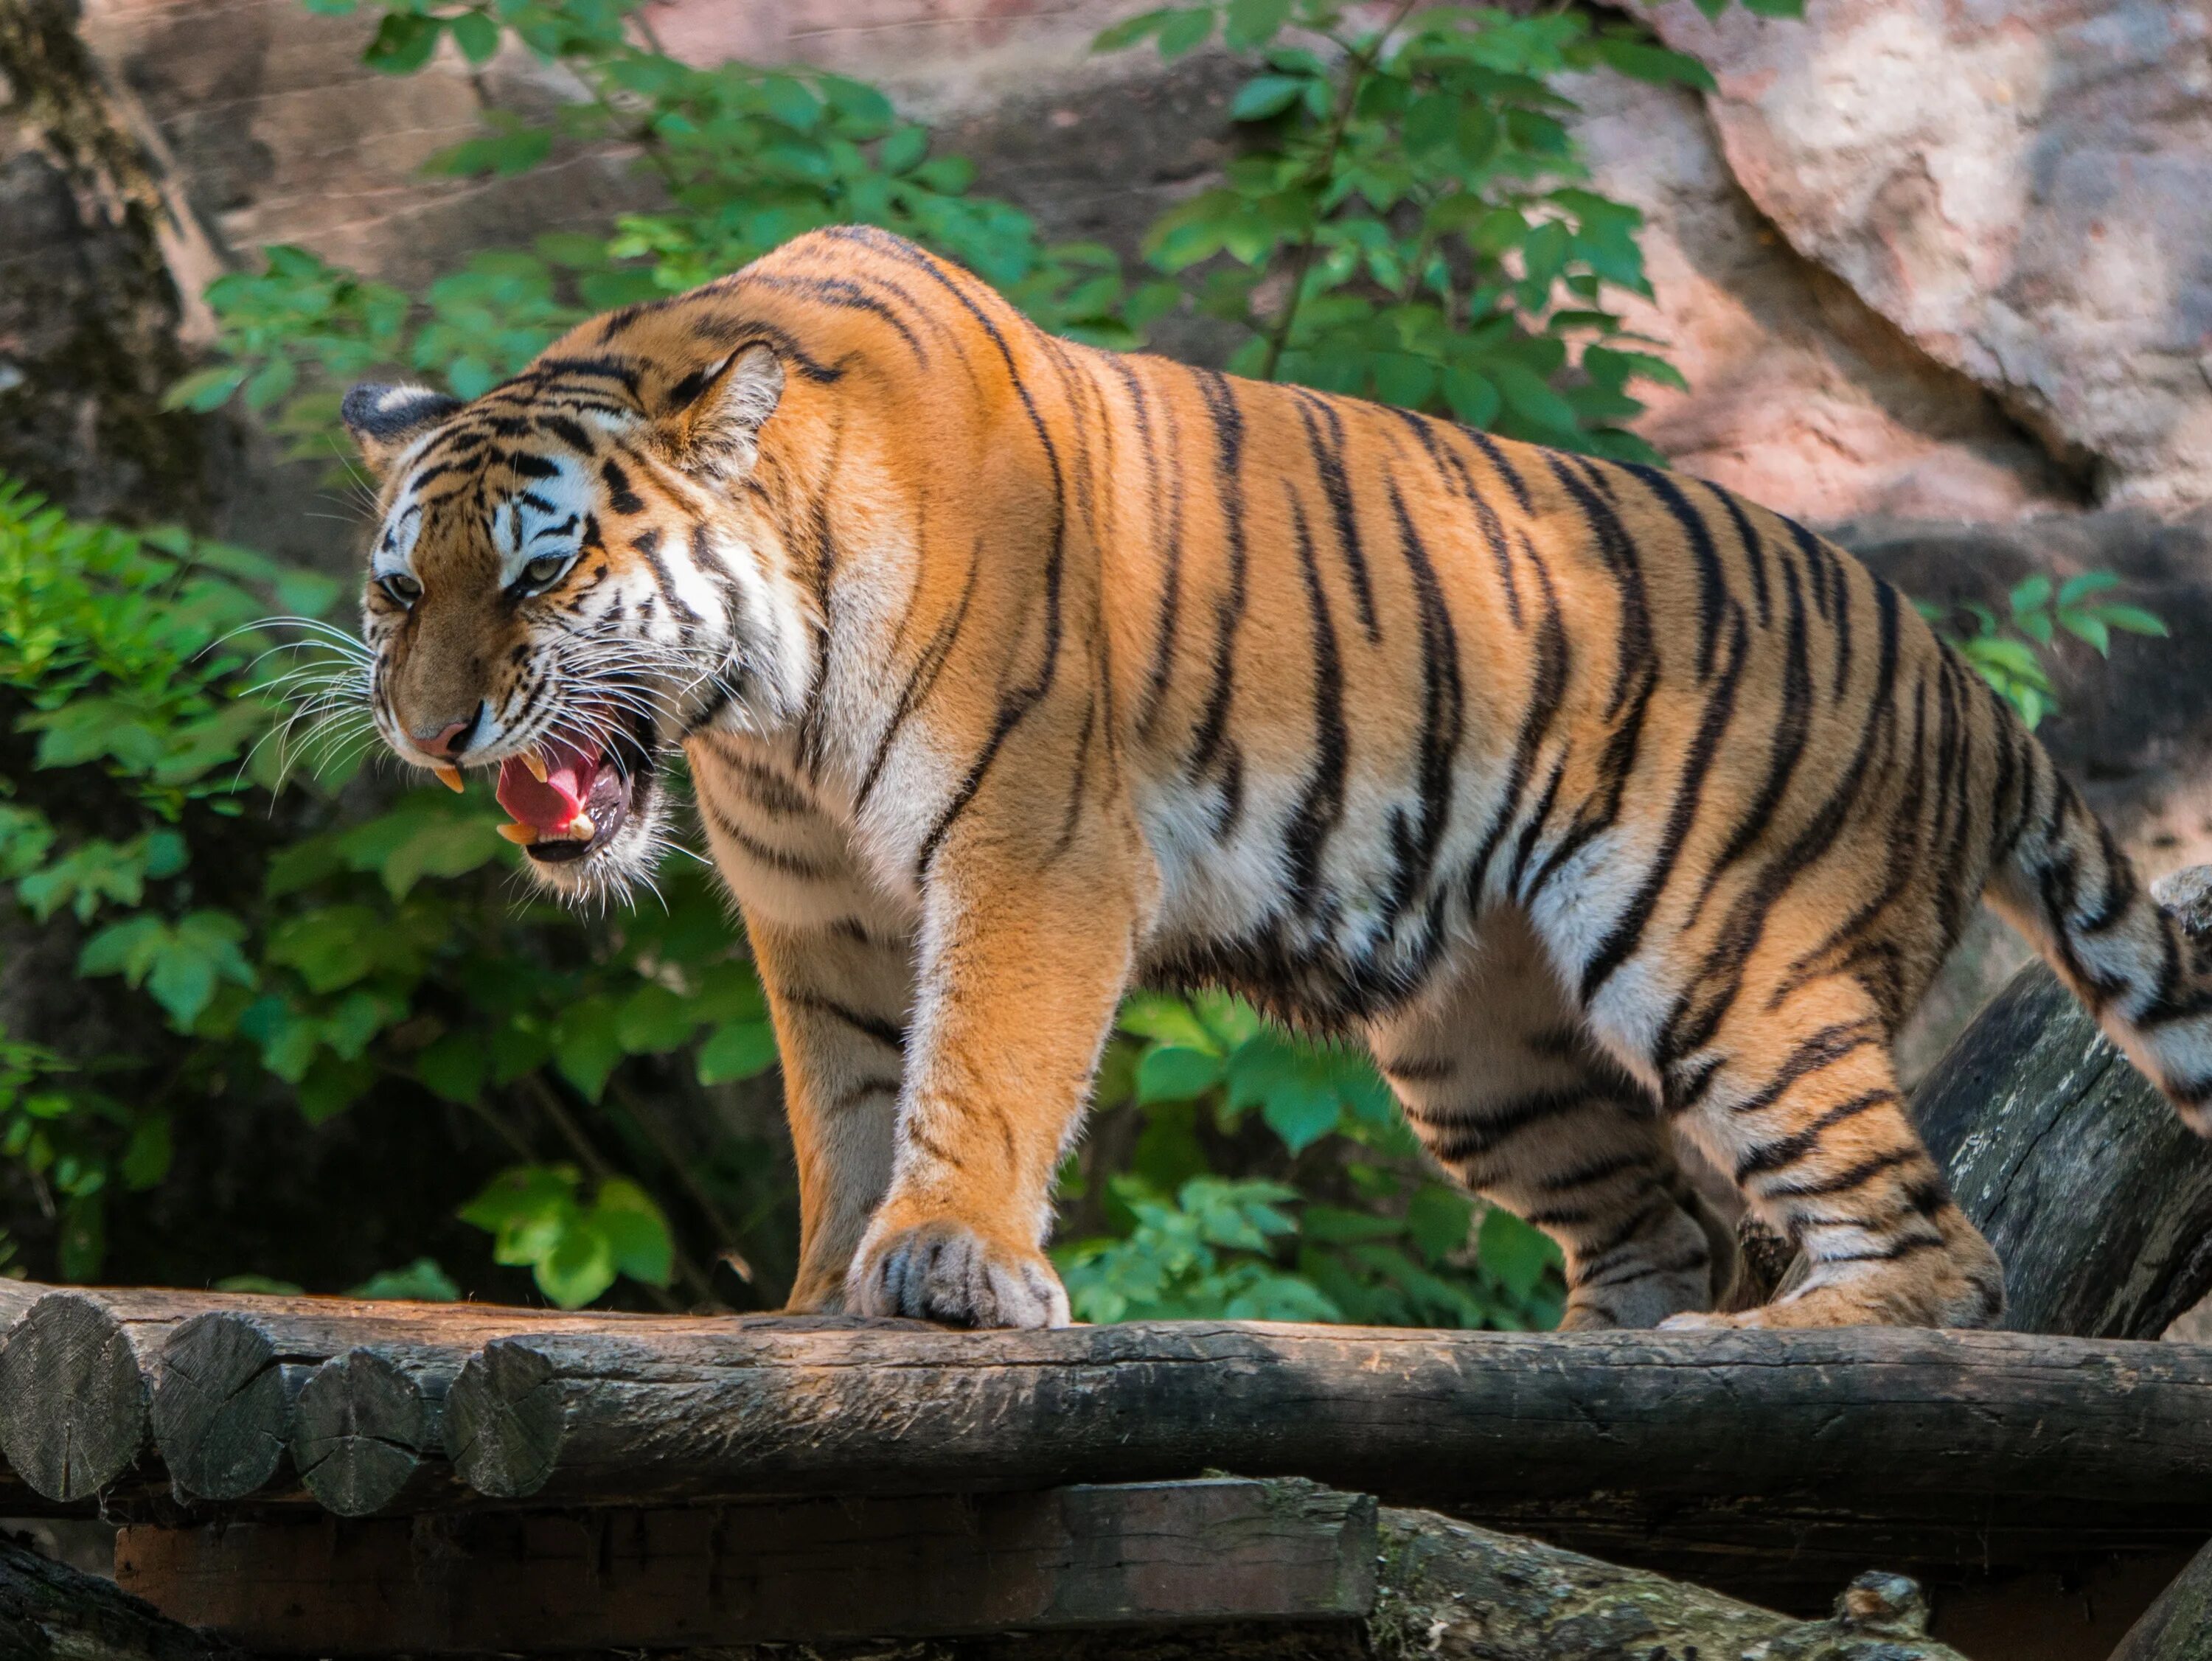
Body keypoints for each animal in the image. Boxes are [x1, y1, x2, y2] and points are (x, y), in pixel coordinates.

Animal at [336, 224, 2212, 1336]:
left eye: (539, 578)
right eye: (399, 588)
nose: (430, 732)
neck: (763, 715)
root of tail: (1964, 682)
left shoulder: (1033, 847)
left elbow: (979, 1061)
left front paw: (948, 1258)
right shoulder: (819, 923)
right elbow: (849, 1102)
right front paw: (822, 1301)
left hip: (1731, 963)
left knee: (1939, 1252)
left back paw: (1764, 1340)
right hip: (1484, 1053)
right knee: (1664, 1222)